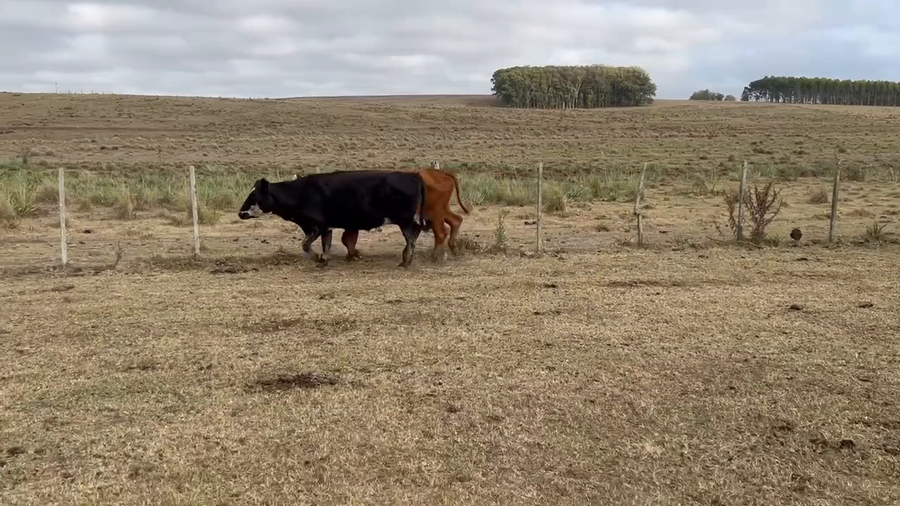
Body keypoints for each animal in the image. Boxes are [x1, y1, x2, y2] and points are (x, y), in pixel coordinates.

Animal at [237, 170, 428, 268]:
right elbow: (326, 245)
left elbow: (305, 244)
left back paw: (406, 262)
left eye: (254, 196)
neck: (300, 192)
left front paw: (317, 258)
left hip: (405, 221)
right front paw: (324, 259)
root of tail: (413, 176)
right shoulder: (325, 228)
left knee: (411, 240)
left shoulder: (317, 226)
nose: (240, 213)